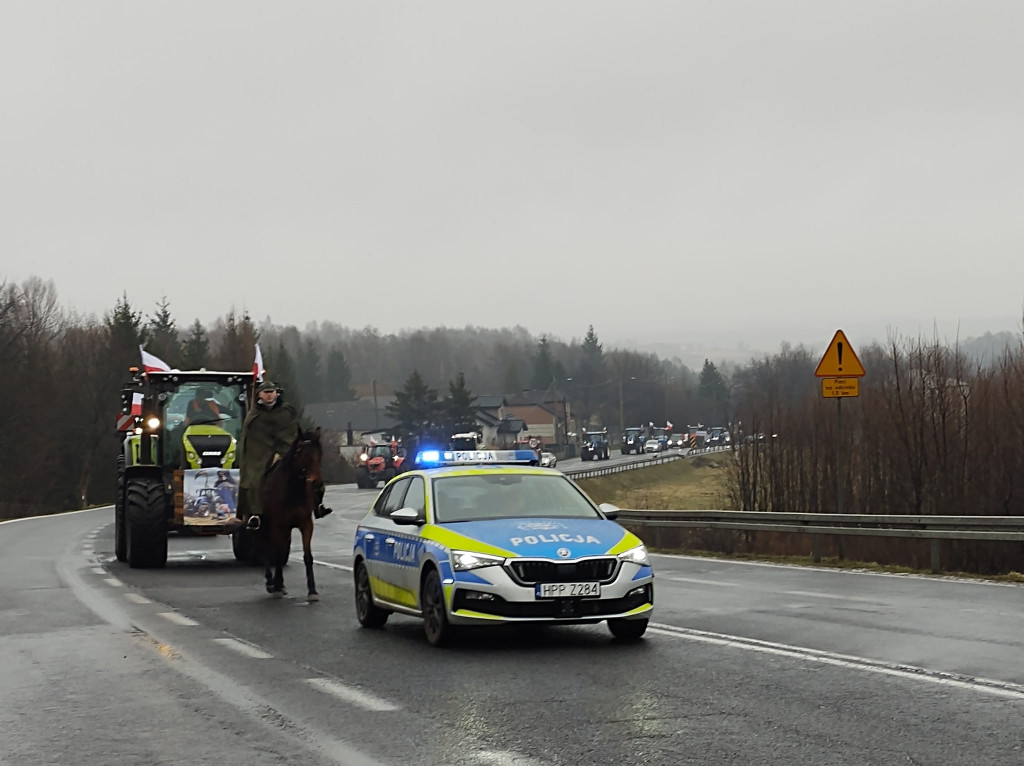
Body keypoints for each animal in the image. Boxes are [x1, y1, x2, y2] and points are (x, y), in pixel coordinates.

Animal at [258, 428, 321, 602]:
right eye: (304, 455)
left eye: (320, 455)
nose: (318, 484)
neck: (292, 490)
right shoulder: (278, 526)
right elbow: (277, 554)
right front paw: (277, 586)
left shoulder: (306, 525)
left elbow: (308, 556)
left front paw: (312, 590)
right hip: (266, 525)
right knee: (266, 548)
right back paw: (271, 582)